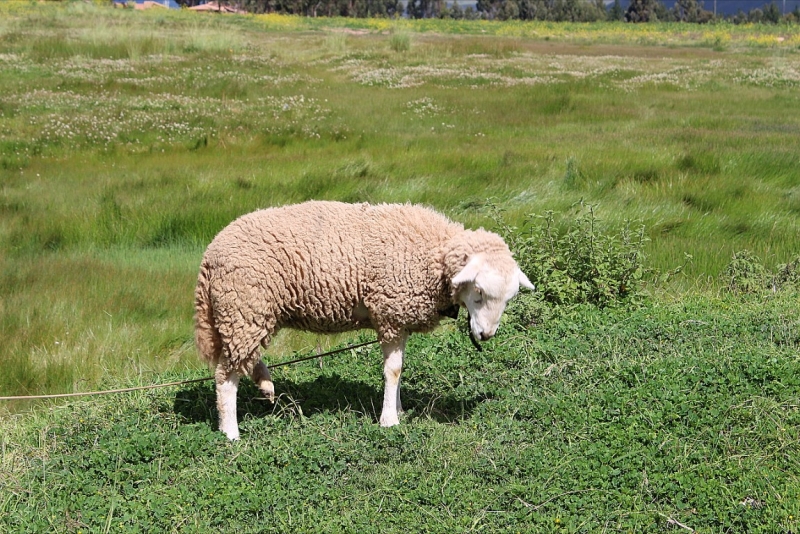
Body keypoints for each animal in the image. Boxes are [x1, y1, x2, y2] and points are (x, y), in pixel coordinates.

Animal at [195, 201, 536, 440]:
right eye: (478, 292)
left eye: (508, 299)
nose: (486, 334)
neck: (431, 256)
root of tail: (211, 253)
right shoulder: (390, 314)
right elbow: (393, 371)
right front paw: (389, 420)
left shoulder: (398, 319)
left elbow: (399, 368)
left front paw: (398, 408)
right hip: (244, 308)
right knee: (225, 375)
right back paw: (230, 431)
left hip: (250, 314)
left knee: (243, 358)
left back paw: (265, 384)